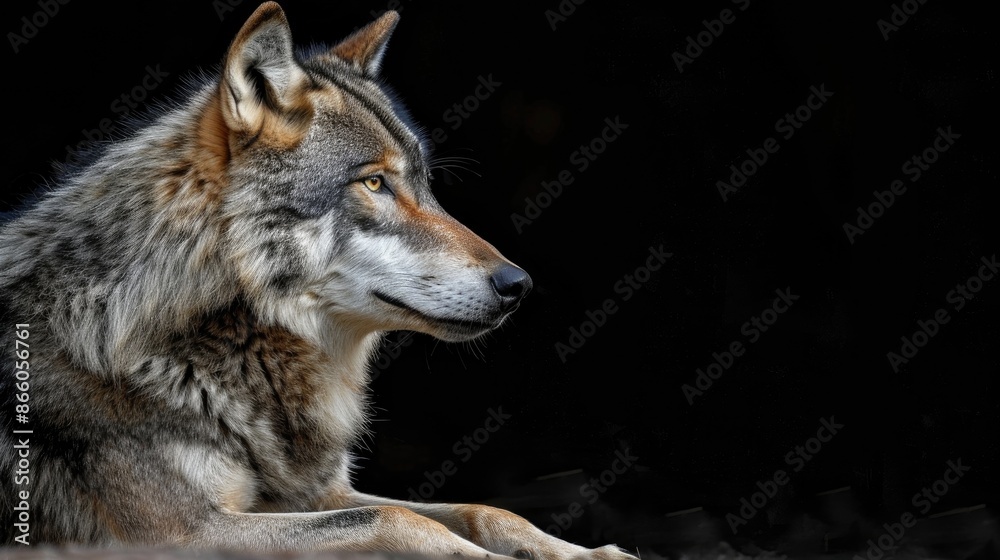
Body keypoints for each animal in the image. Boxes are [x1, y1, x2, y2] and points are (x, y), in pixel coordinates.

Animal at [0, 3, 636, 558]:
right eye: (375, 183)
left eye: (426, 185)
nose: (517, 284)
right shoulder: (179, 530)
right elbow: (395, 519)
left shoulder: (323, 491)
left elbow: (483, 510)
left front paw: (584, 553)